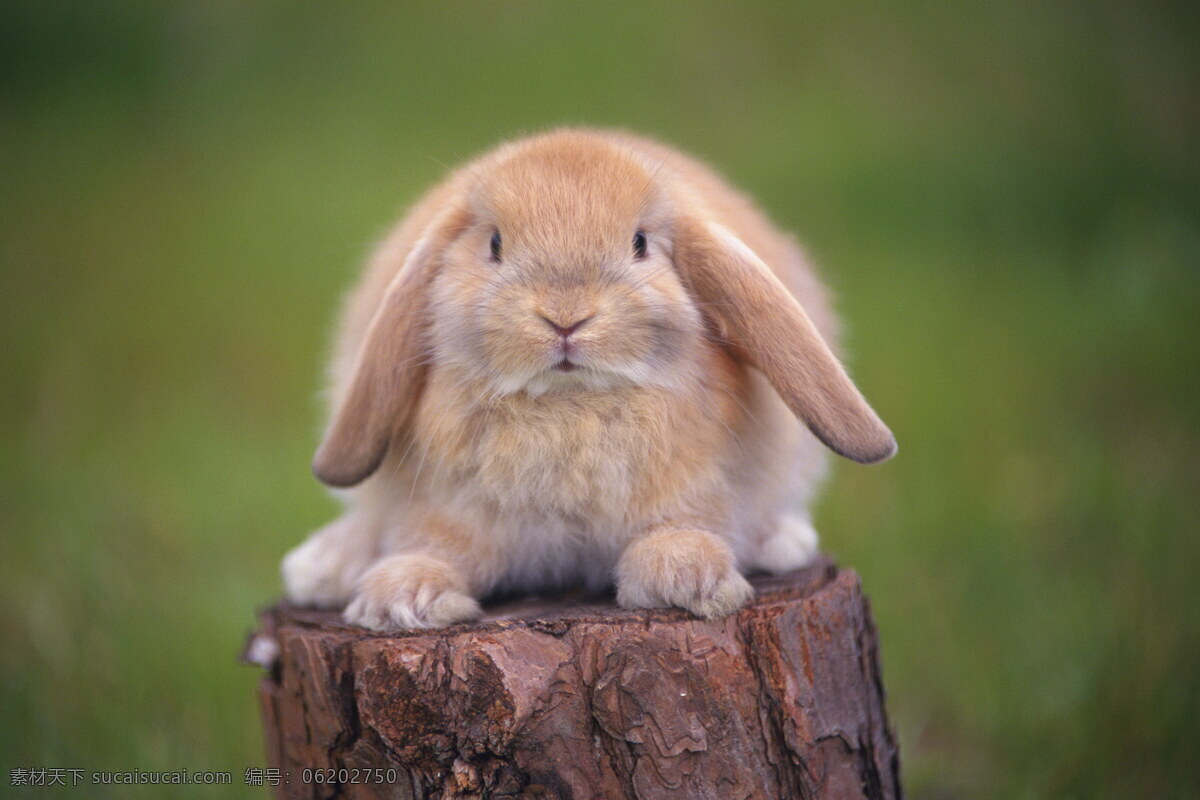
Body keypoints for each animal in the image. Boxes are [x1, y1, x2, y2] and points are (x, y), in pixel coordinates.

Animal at [280, 126, 892, 633]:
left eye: (640, 243)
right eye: (494, 244)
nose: (565, 316)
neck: (569, 404)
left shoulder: (695, 490)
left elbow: (681, 528)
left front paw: (687, 578)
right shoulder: (448, 508)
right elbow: (434, 546)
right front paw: (401, 599)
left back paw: (779, 541)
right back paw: (326, 566)